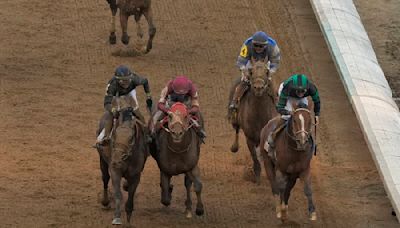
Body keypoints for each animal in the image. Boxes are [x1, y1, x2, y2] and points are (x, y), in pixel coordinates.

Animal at [95, 95, 148, 225]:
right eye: (114, 134)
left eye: (131, 138)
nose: (117, 160)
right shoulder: (115, 170)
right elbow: (118, 193)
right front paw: (117, 217)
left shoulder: (136, 175)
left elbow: (131, 195)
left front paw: (128, 216)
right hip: (102, 161)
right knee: (105, 178)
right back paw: (105, 202)